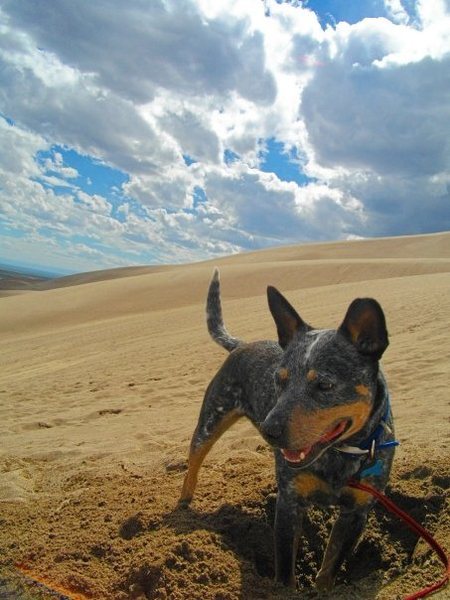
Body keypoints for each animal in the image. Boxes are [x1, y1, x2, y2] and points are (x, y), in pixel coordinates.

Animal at [179, 268, 398, 592]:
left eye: (324, 384)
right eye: (278, 380)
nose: (268, 430)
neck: (339, 455)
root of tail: (241, 344)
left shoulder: (356, 513)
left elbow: (331, 564)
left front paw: (324, 589)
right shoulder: (289, 504)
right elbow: (284, 569)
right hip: (211, 420)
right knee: (194, 460)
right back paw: (183, 502)